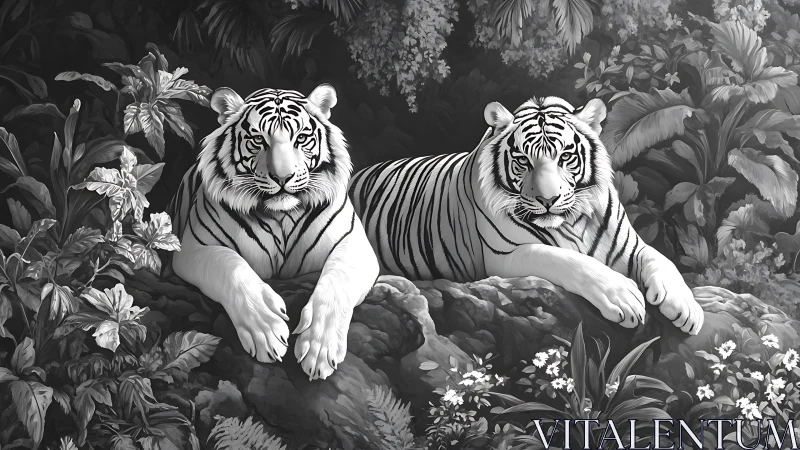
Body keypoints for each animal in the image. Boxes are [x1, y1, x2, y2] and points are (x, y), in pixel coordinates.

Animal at [169, 84, 379, 381]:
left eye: (301, 138)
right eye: (258, 139)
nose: (282, 177)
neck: (282, 216)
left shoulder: (354, 244)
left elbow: (337, 281)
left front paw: (320, 347)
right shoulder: (194, 247)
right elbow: (230, 268)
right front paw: (266, 330)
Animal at [348, 96, 704, 335]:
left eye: (565, 156)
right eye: (523, 160)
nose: (548, 199)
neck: (573, 222)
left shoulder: (630, 247)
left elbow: (661, 259)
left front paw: (686, 307)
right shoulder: (505, 256)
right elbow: (570, 261)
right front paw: (624, 298)